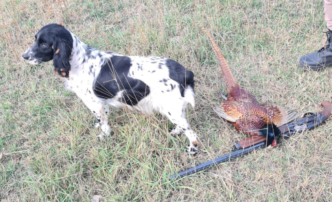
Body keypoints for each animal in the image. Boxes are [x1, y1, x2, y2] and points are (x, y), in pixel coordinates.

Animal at [24, 23, 200, 153]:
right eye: (35, 39)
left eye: (44, 44)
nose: (24, 56)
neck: (78, 60)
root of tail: (184, 72)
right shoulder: (101, 101)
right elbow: (103, 117)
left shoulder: (93, 102)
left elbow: (103, 122)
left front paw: (104, 135)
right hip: (174, 107)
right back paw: (177, 131)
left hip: (170, 107)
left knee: (192, 133)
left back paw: (192, 149)